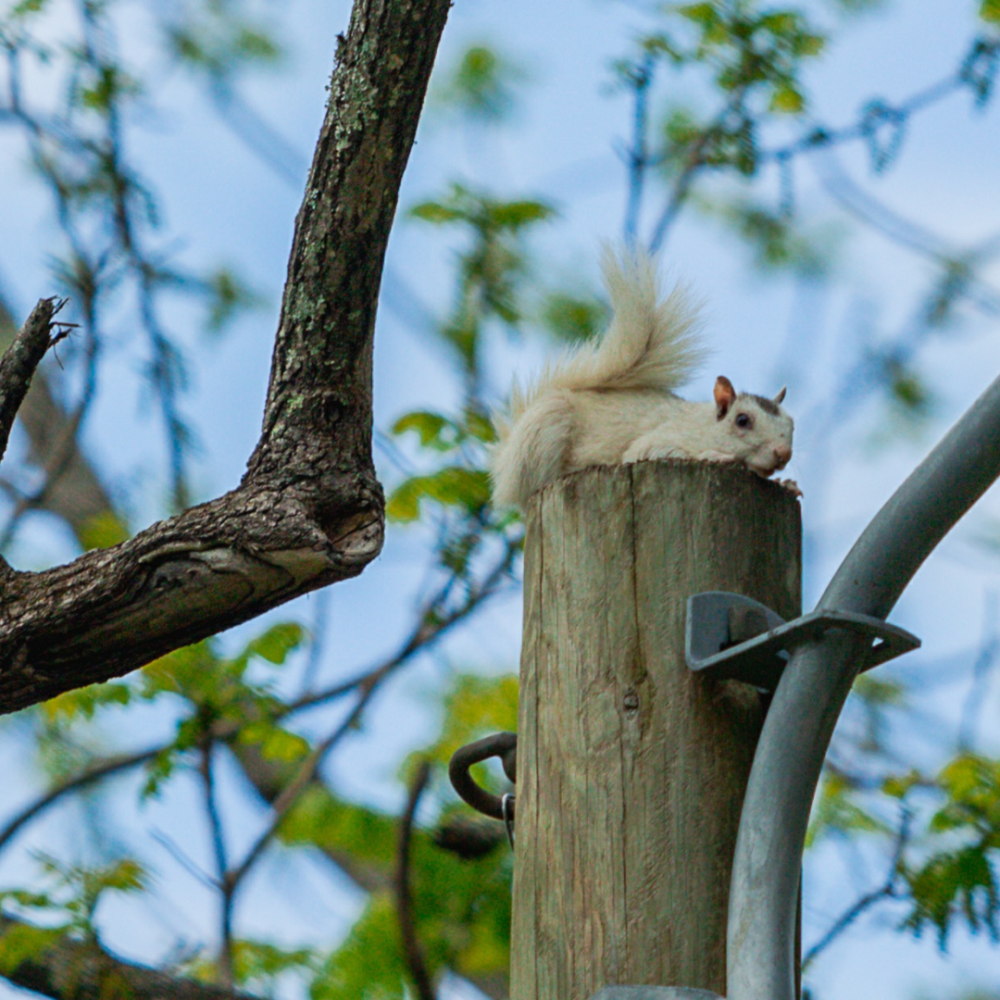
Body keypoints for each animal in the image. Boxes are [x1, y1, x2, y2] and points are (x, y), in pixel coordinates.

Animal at [490, 247, 797, 508]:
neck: (703, 427)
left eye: (791, 424)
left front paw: (788, 483)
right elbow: (654, 451)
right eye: (742, 420)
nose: (784, 453)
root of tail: (505, 462)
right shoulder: (652, 444)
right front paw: (717, 456)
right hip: (545, 429)